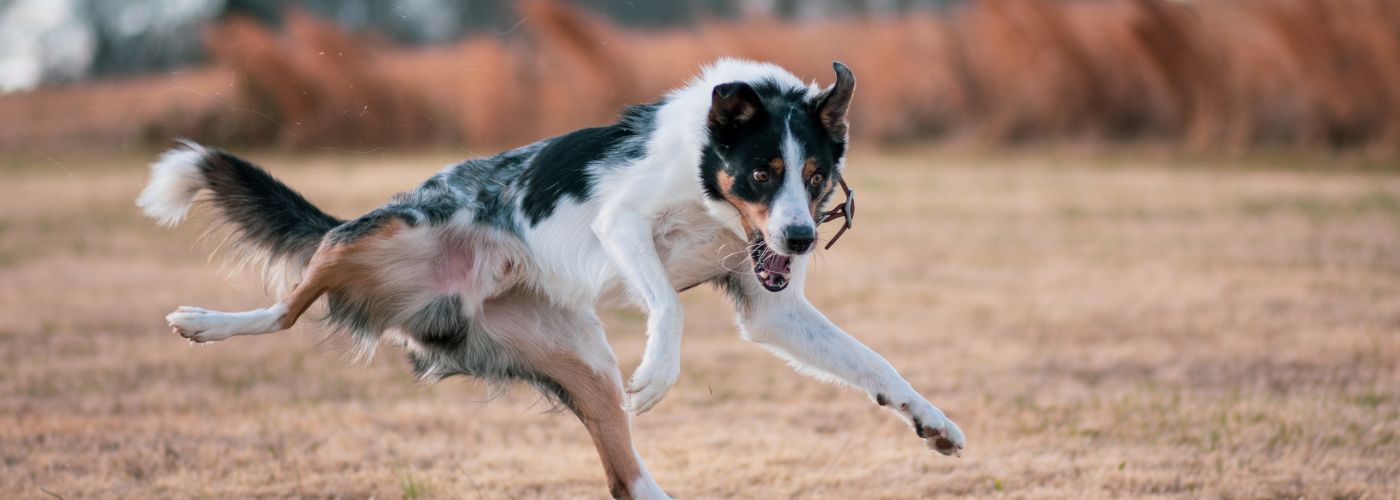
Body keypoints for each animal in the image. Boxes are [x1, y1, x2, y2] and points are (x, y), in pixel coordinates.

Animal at [139, 59, 963, 498]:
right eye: (762, 173)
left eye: (815, 175)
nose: (798, 238)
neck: (706, 180)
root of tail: (456, 300)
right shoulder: (622, 223)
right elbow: (668, 306)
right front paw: (658, 370)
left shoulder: (774, 308)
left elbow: (874, 364)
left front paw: (931, 420)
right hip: (381, 234)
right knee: (286, 306)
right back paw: (204, 323)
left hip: (585, 363)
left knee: (627, 478)